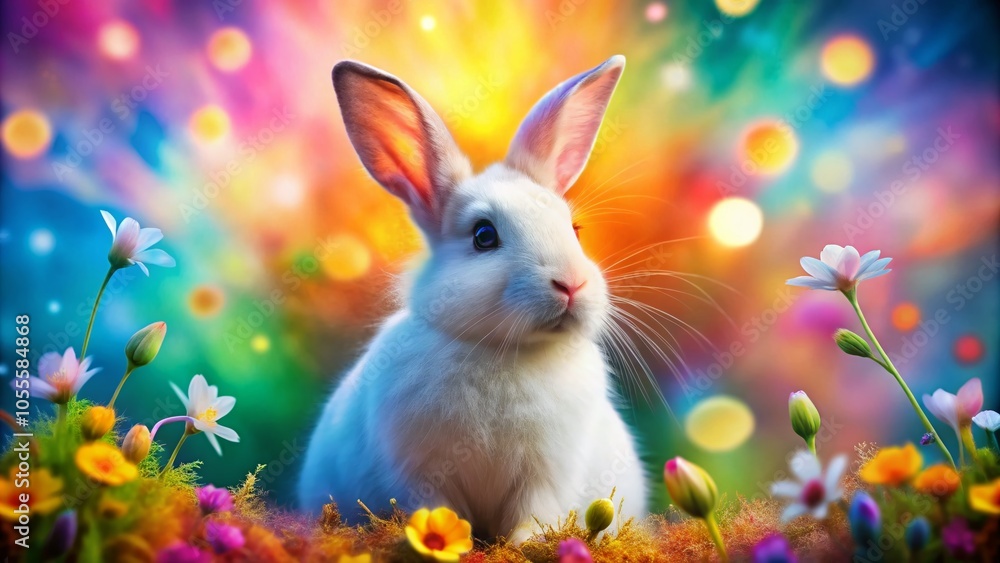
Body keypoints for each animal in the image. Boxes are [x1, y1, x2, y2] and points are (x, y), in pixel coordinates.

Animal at [298, 55, 647, 543]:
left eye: (574, 230)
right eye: (484, 236)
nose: (572, 284)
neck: (506, 351)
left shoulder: (546, 475)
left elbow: (534, 515)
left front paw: (525, 545)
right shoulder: (422, 471)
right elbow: (439, 510)